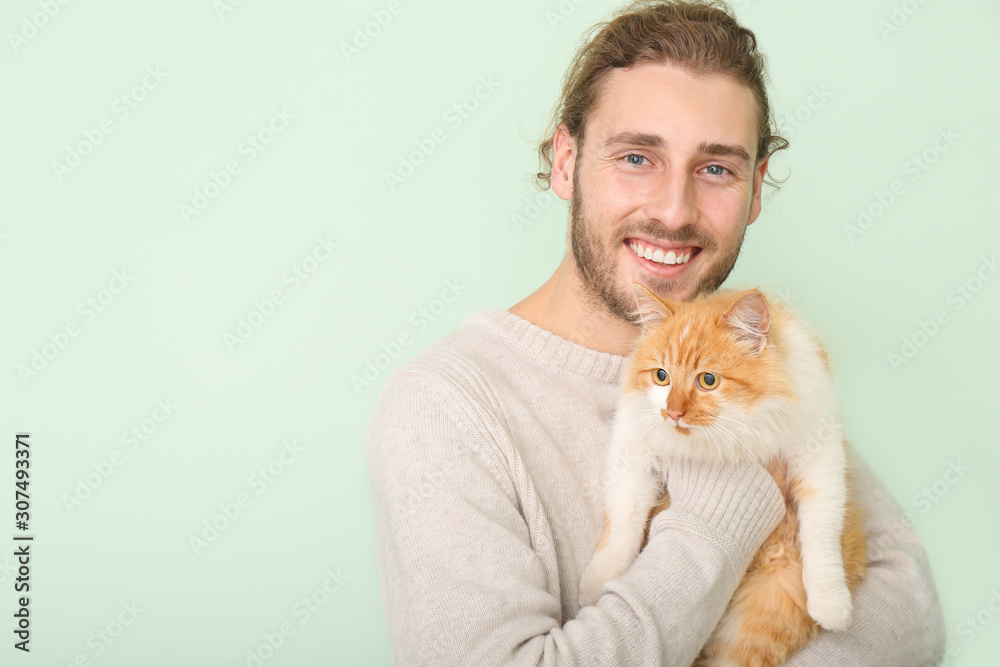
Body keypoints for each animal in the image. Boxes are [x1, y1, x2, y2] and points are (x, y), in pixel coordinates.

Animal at [580, 284, 868, 664]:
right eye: (661, 376)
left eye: (708, 381)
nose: (672, 412)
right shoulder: (633, 454)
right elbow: (621, 527)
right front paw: (597, 582)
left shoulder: (820, 455)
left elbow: (822, 533)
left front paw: (831, 603)